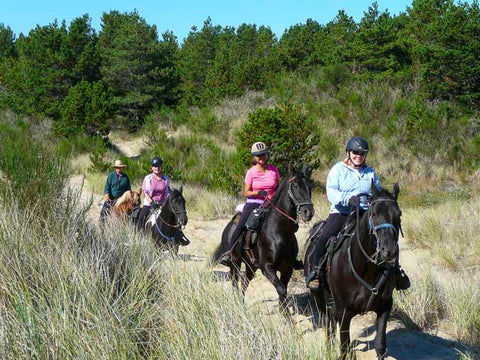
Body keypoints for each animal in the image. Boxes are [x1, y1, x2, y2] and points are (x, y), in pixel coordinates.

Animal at [213, 165, 316, 316]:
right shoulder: (267, 268)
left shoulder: (287, 268)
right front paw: (287, 316)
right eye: (296, 185)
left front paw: (284, 312)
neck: (280, 231)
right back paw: (236, 304)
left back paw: (241, 304)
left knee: (244, 283)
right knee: (234, 282)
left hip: (251, 266)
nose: (308, 211)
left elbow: (283, 289)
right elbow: (281, 289)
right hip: (235, 263)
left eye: (310, 186)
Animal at [304, 181, 402, 358]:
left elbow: (380, 346)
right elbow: (344, 348)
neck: (367, 269)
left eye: (399, 214)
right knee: (327, 323)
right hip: (318, 296)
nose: (389, 251)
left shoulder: (385, 307)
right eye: (374, 214)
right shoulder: (344, 313)